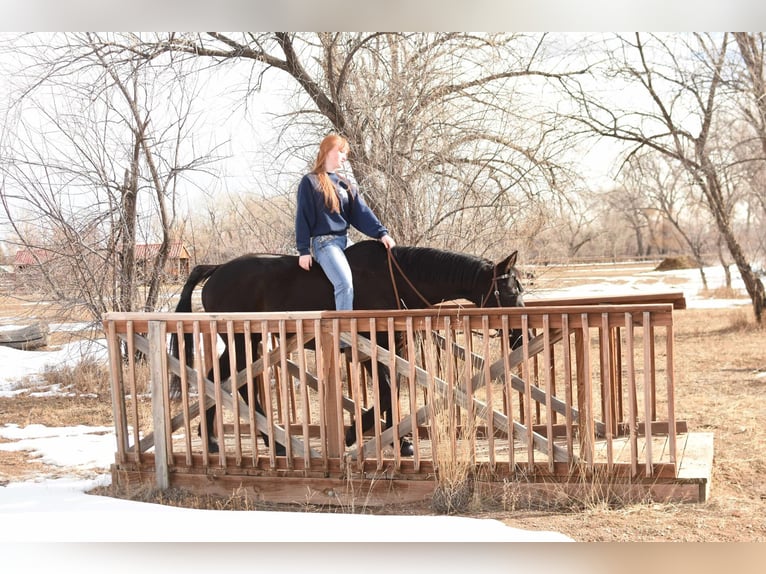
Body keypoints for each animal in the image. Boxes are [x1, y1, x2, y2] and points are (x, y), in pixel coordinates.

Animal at [169, 240, 527, 457]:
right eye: (510, 292)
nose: (520, 335)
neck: (395, 280)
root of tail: (216, 270)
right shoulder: (370, 347)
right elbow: (385, 390)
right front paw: (364, 434)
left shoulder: (390, 347)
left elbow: (391, 389)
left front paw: (392, 437)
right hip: (242, 340)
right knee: (231, 383)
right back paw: (270, 442)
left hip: (246, 341)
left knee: (218, 380)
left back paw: (216, 439)